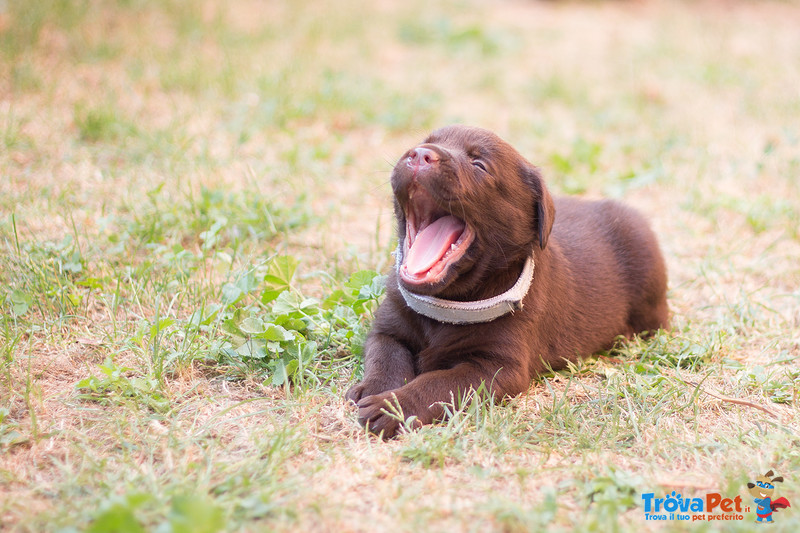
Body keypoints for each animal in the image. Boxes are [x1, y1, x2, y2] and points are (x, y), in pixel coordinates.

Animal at [346, 124, 664, 436]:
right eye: (425, 141)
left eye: (479, 164)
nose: (420, 154)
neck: (447, 302)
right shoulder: (388, 329)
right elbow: (385, 356)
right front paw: (373, 390)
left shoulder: (496, 368)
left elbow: (438, 384)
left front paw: (392, 407)